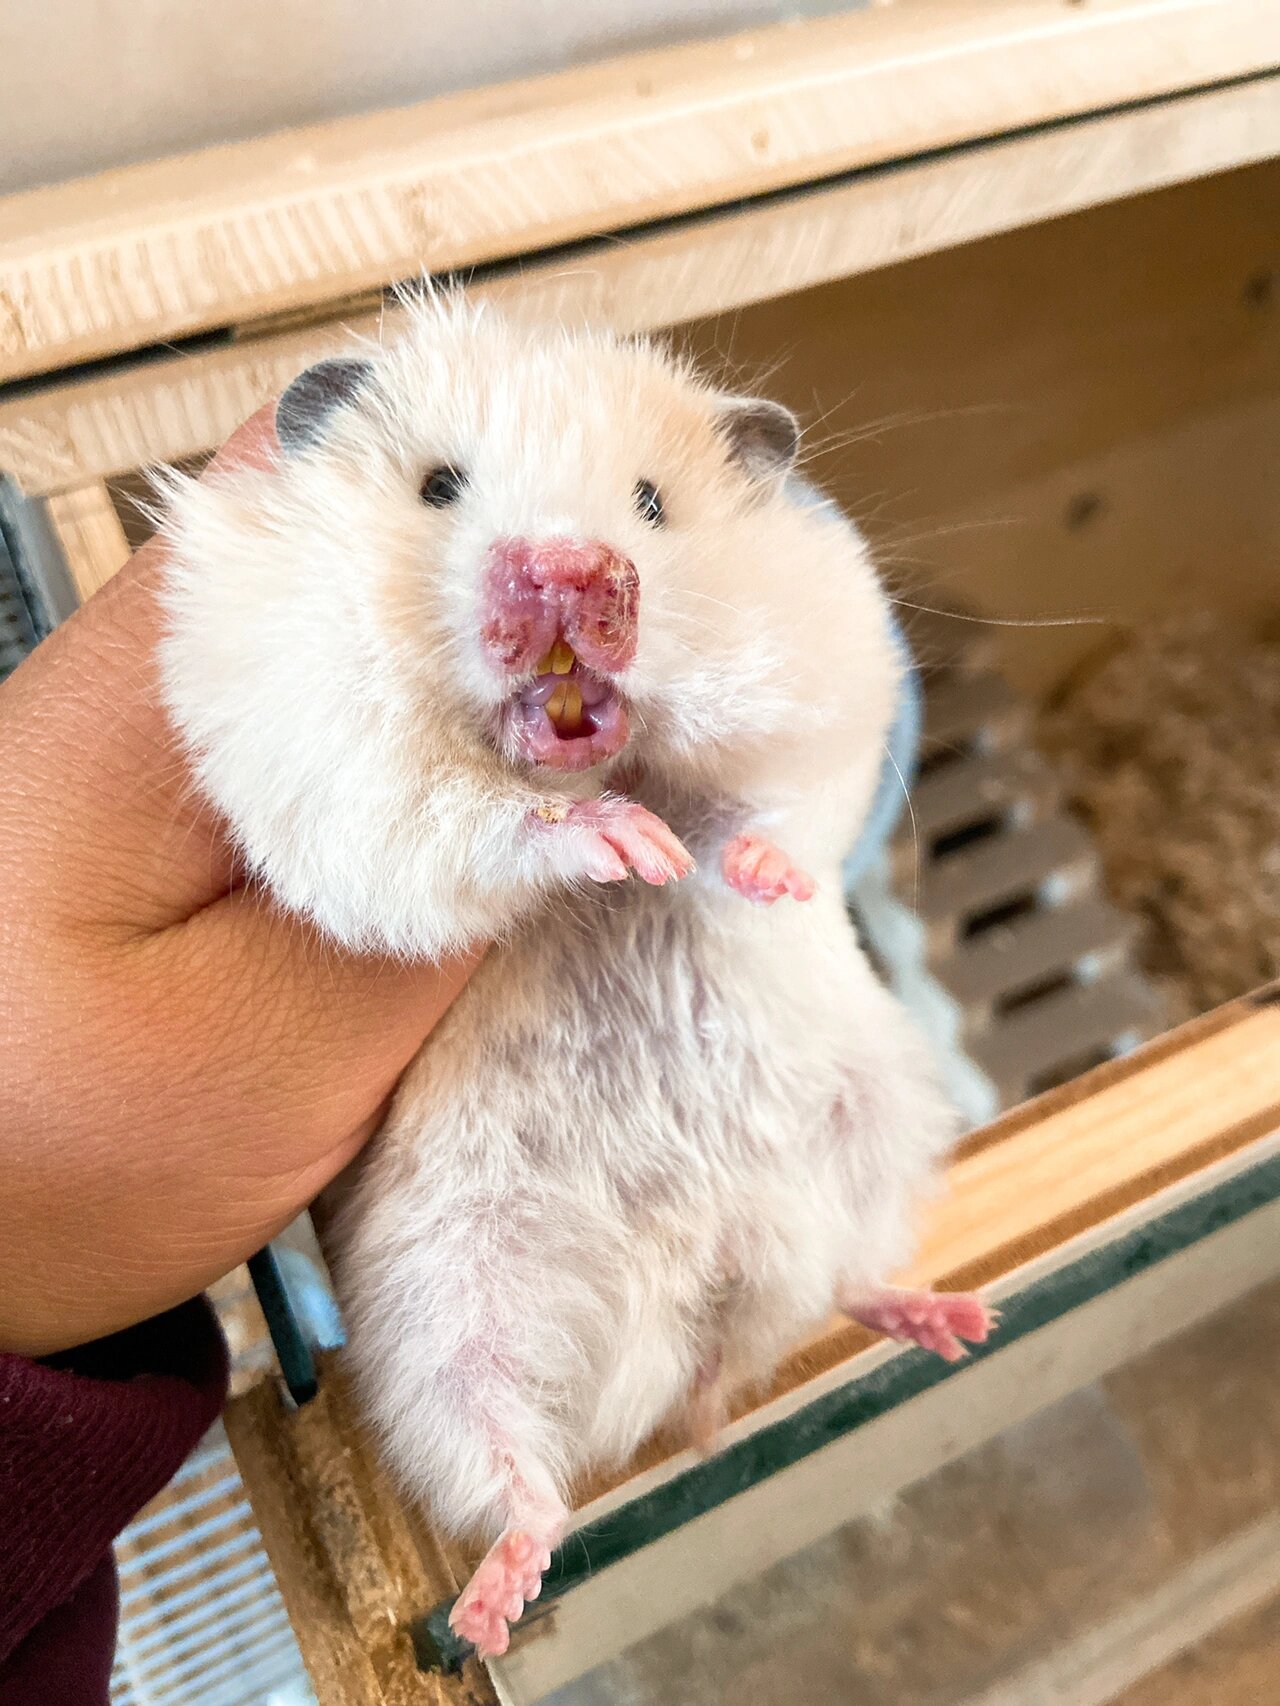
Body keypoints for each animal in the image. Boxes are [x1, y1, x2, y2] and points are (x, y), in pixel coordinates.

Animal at [160, 293, 996, 1651]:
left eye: (652, 504)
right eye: (438, 486)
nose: (569, 570)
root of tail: (696, 1298)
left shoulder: (826, 681)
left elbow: (779, 801)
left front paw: (745, 869)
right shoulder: (329, 782)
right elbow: (477, 823)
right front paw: (631, 845)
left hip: (874, 1123)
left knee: (848, 1275)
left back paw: (950, 1321)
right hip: (442, 1305)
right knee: (513, 1469)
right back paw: (495, 1599)